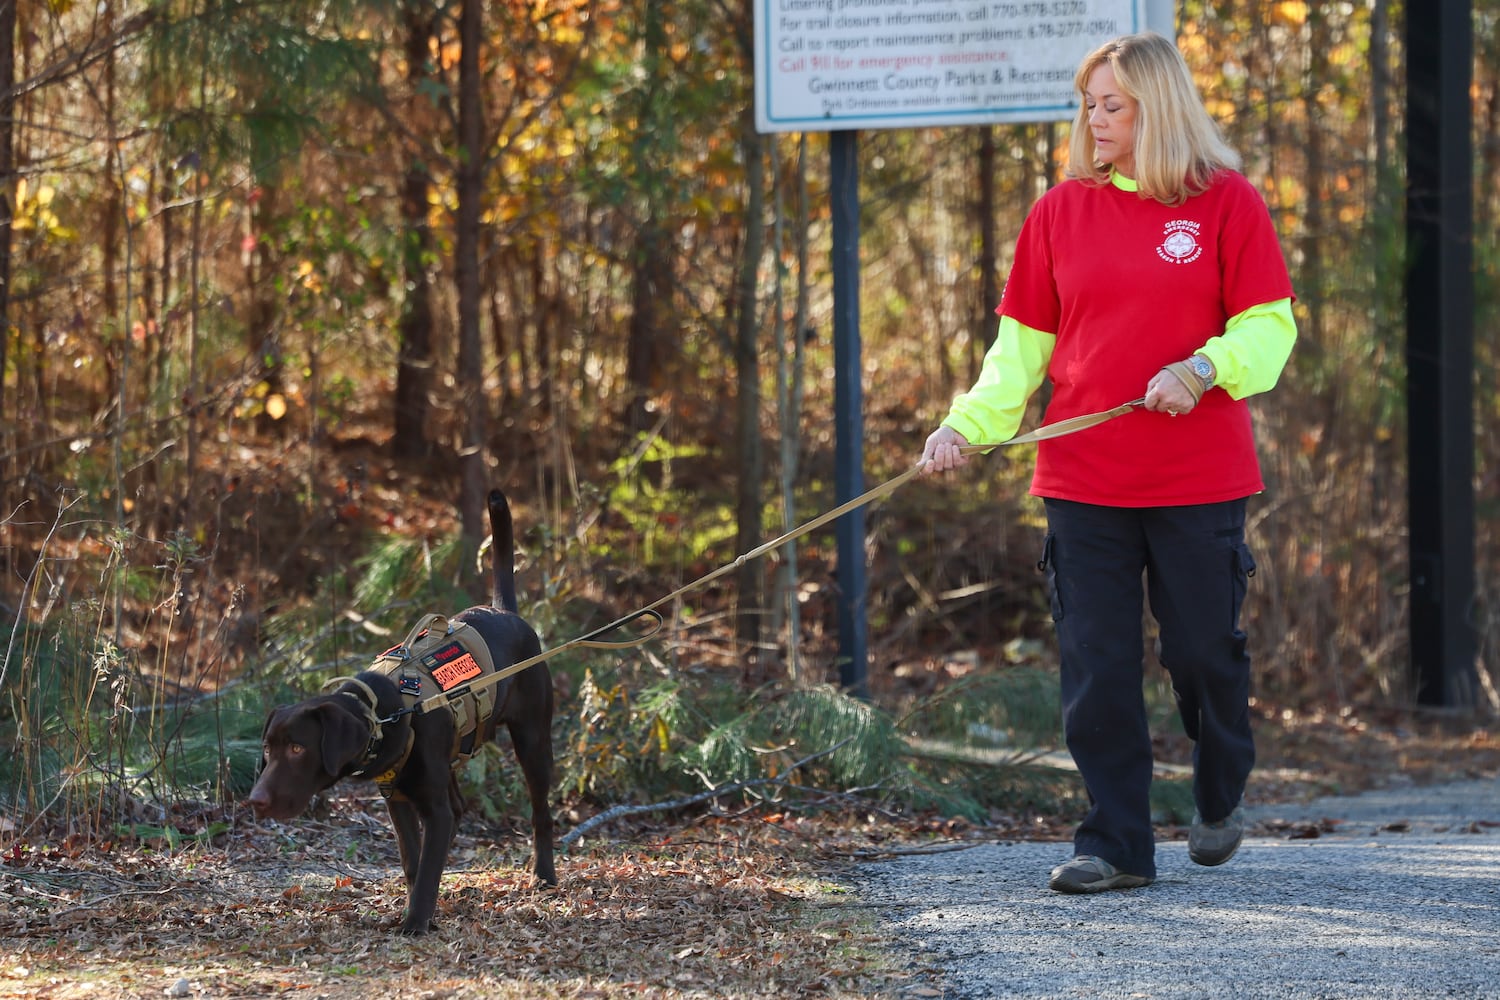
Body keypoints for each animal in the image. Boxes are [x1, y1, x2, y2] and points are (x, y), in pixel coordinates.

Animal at [247, 489, 555, 935]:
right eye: (268, 750)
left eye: (298, 750)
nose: (254, 800)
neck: (384, 712)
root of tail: (507, 612)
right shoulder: (398, 800)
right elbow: (414, 860)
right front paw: (417, 906)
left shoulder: (429, 805)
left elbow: (426, 866)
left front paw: (416, 921)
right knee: (458, 809)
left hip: (532, 738)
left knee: (539, 812)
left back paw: (544, 876)